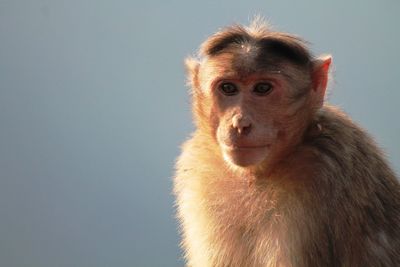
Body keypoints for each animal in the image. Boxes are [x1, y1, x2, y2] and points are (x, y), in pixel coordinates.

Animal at [173, 19, 400, 267]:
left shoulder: (323, 173)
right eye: (228, 88)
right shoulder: (199, 169)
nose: (240, 124)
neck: (259, 174)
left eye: (262, 88)